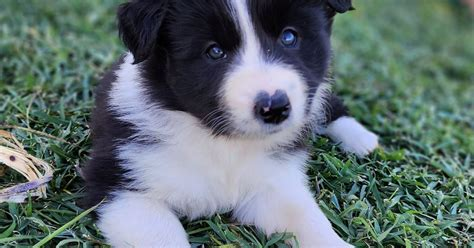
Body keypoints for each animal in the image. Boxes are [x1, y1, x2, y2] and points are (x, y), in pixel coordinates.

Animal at [81, 0, 378, 247]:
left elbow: (309, 222)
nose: (275, 108)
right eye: (214, 51)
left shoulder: (273, 182)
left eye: (289, 36)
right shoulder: (122, 185)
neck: (221, 139)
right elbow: (161, 236)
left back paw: (362, 140)